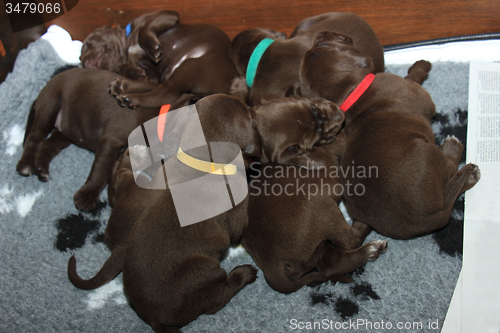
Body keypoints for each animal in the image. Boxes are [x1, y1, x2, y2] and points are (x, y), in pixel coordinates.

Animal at [15, 67, 191, 210]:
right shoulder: (111, 141)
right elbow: (101, 170)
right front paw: (88, 195)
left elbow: (111, 174)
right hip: (50, 104)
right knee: (34, 137)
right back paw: (26, 165)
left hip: (65, 131)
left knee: (48, 145)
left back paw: (41, 168)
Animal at [296, 31, 480, 239]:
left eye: (318, 43)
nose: (322, 32)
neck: (350, 94)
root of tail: (426, 219)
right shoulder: (415, 90)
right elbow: (413, 76)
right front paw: (421, 65)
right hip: (428, 153)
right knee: (450, 170)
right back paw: (460, 158)